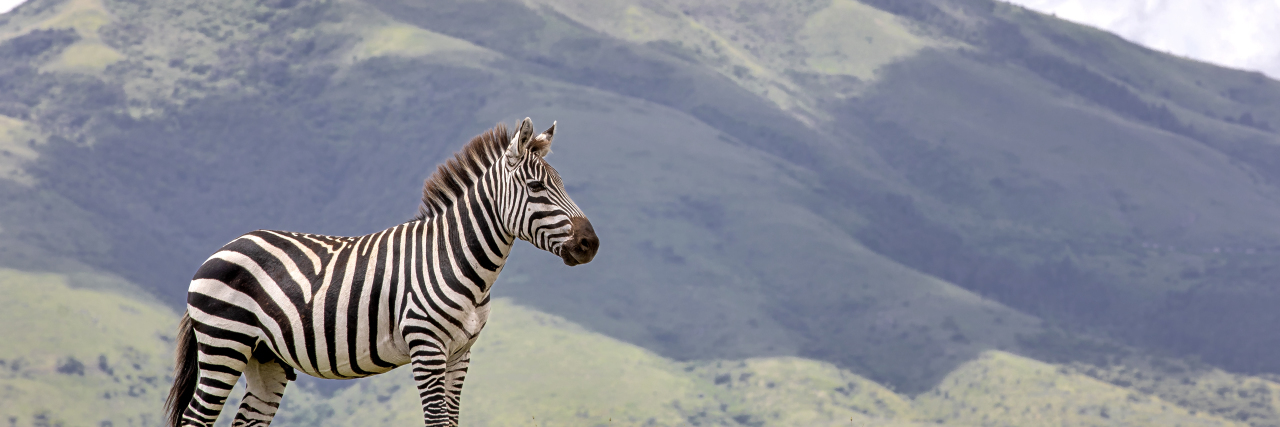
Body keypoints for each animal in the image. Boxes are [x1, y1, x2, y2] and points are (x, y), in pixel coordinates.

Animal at [163, 118, 599, 427]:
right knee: (196, 419)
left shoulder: (461, 354)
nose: (590, 244)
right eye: (537, 187)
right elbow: (437, 422)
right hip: (224, 343)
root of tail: (223, 248)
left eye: (562, 183)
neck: (454, 257)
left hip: (264, 357)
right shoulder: (427, 348)